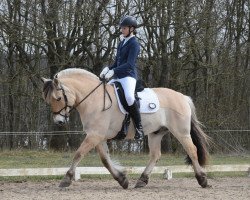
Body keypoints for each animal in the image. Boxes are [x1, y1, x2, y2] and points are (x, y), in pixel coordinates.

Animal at [41, 68, 209, 189]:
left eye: (58, 98)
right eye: (47, 101)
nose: (59, 121)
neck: (93, 99)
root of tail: (183, 97)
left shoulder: (94, 135)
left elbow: (78, 154)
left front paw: (66, 179)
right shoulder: (98, 137)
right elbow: (105, 160)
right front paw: (122, 179)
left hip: (181, 132)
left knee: (192, 150)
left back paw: (203, 180)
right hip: (156, 133)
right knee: (155, 155)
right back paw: (142, 180)